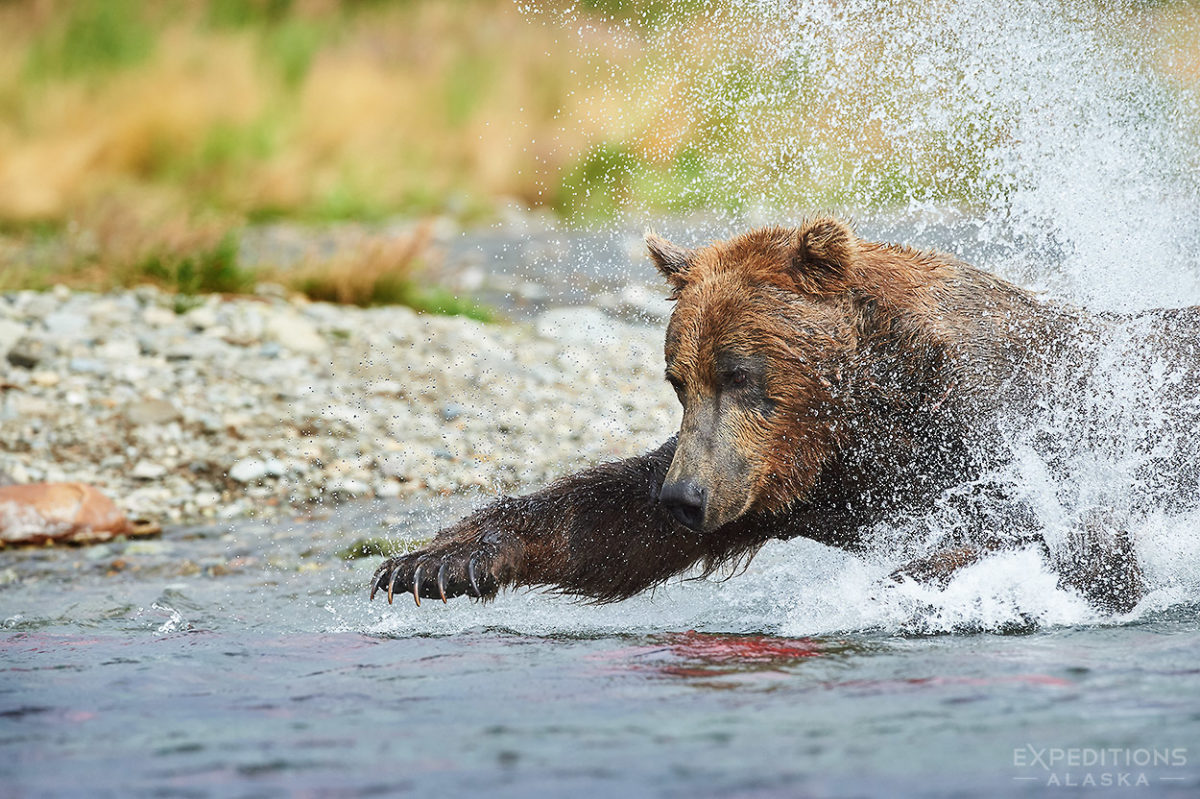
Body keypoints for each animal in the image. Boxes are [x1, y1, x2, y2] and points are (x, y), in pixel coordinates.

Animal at [372, 215, 1190, 609]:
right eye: (678, 379)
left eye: (740, 372)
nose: (685, 497)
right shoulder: (789, 479)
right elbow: (610, 521)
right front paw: (432, 561)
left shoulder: (1004, 423)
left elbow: (1063, 536)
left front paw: (907, 579)